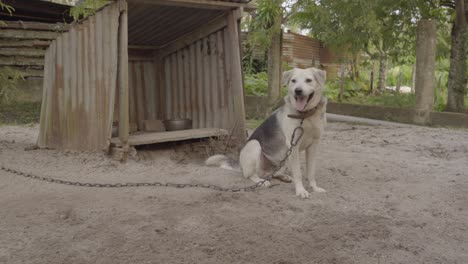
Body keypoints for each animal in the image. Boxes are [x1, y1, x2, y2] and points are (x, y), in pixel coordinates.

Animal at [207, 67, 328, 197]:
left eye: (308, 80)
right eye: (293, 81)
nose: (298, 91)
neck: (306, 115)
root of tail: (240, 164)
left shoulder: (313, 145)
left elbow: (311, 172)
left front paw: (314, 188)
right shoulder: (293, 145)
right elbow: (298, 173)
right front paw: (301, 190)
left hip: (284, 157)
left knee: (273, 174)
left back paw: (283, 177)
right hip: (255, 145)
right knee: (251, 175)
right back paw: (262, 182)